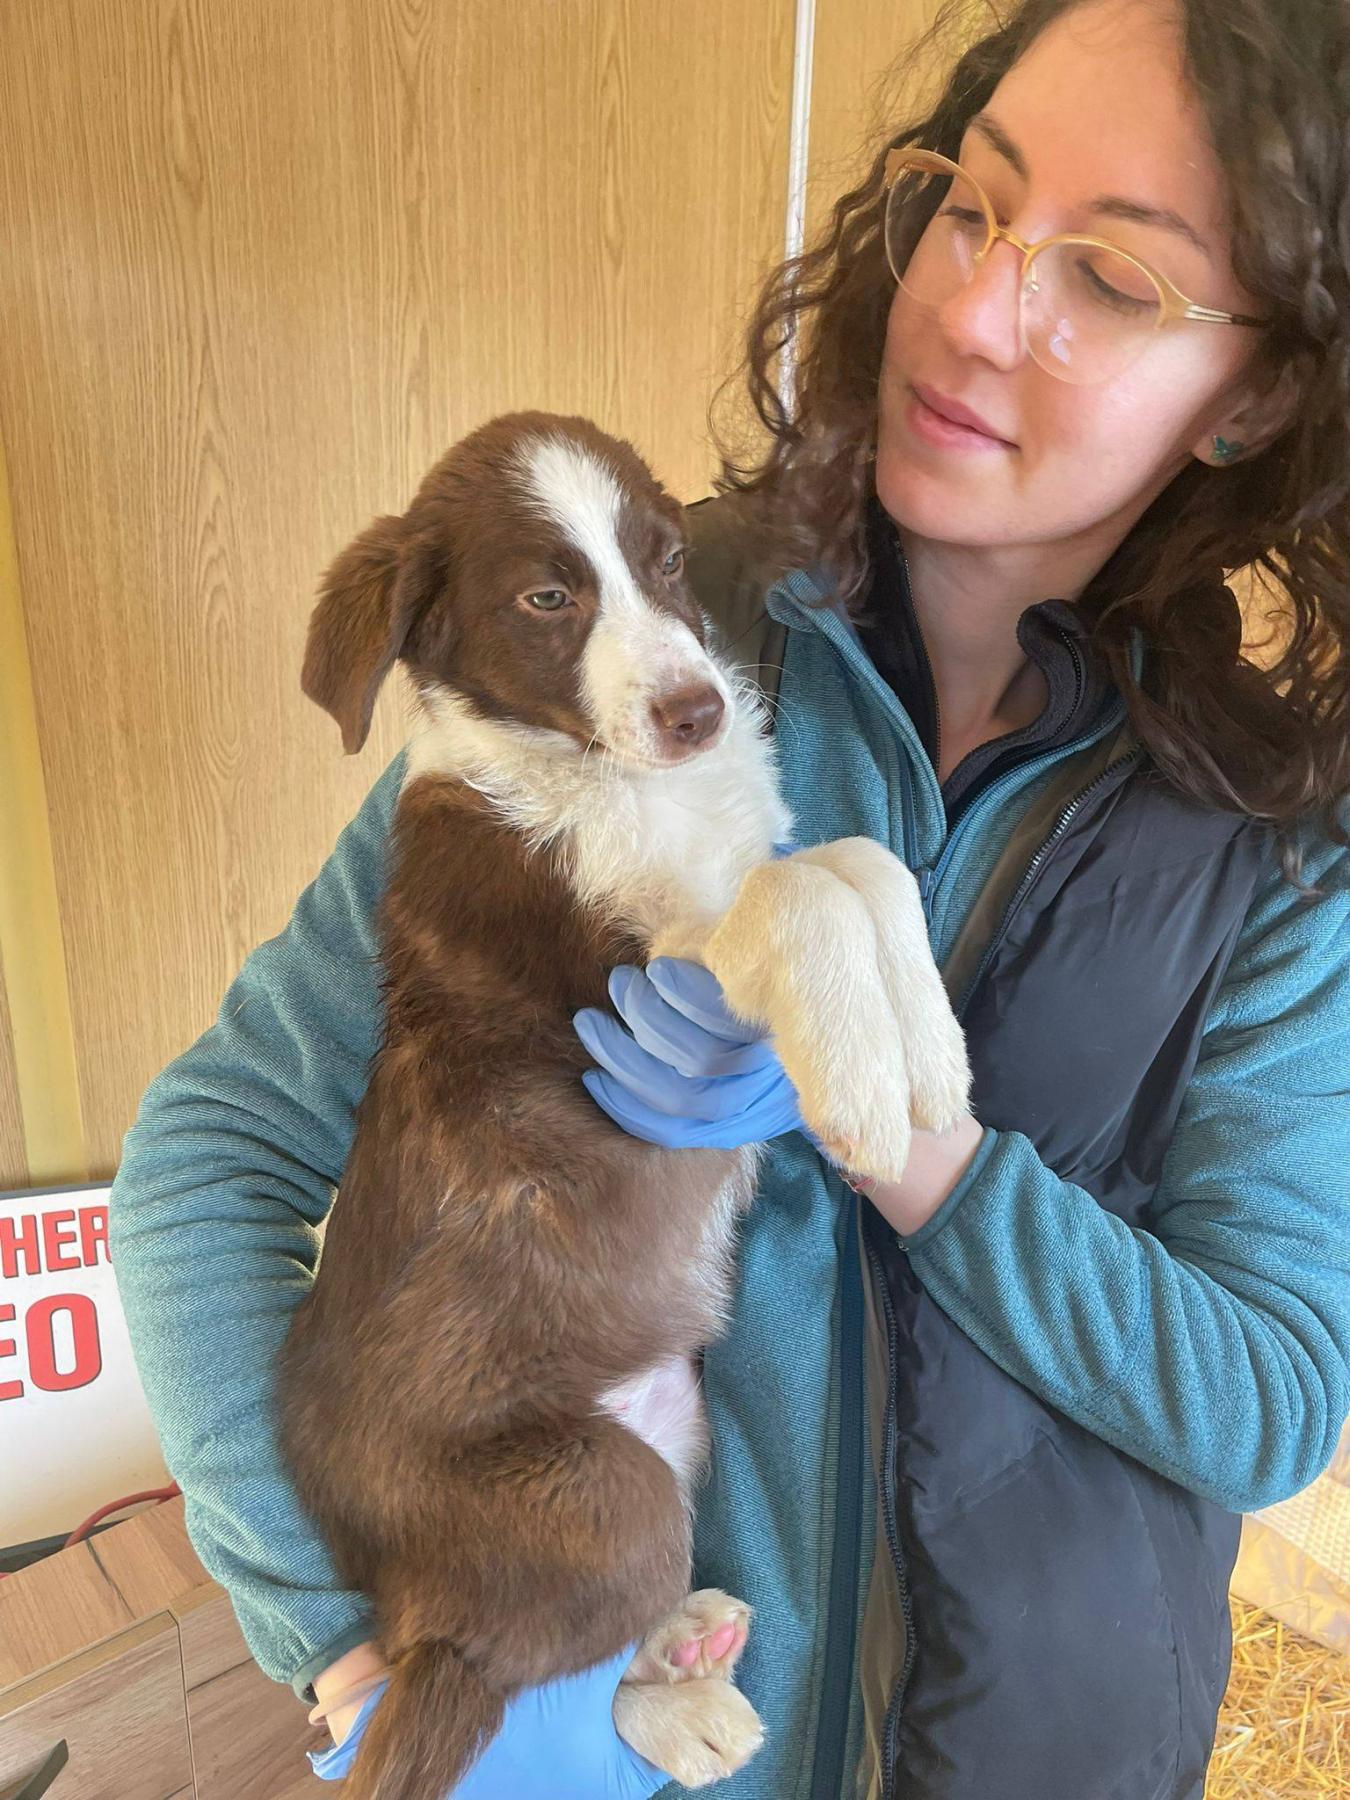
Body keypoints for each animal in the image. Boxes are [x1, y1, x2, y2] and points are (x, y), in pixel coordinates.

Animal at [276, 409, 970, 1798]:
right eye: (547, 599)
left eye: (665, 564)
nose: (698, 712)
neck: (614, 781)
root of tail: (396, 1603)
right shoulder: (636, 966)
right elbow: (803, 895)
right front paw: (861, 1080)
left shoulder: (744, 876)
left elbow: (858, 866)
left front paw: (922, 1050)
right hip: (603, 1497)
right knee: (506, 1669)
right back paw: (671, 1712)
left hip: (670, 1425)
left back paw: (687, 1657)